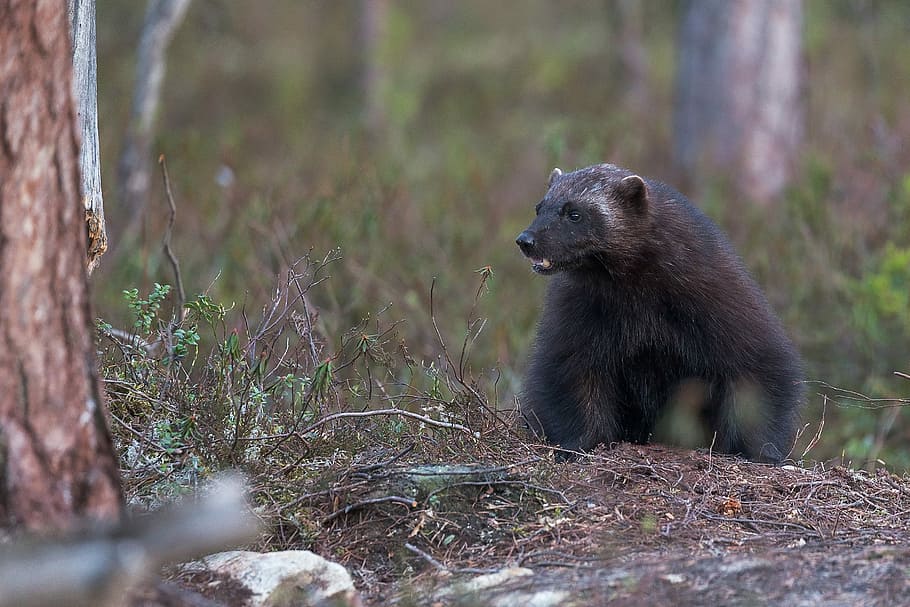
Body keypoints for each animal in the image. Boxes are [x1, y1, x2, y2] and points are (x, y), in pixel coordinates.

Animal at [515, 163, 803, 463]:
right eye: (539, 207)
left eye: (575, 213)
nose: (526, 240)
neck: (634, 292)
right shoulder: (577, 312)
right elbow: (572, 375)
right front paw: (580, 444)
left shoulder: (720, 301)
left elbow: (758, 372)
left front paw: (759, 451)